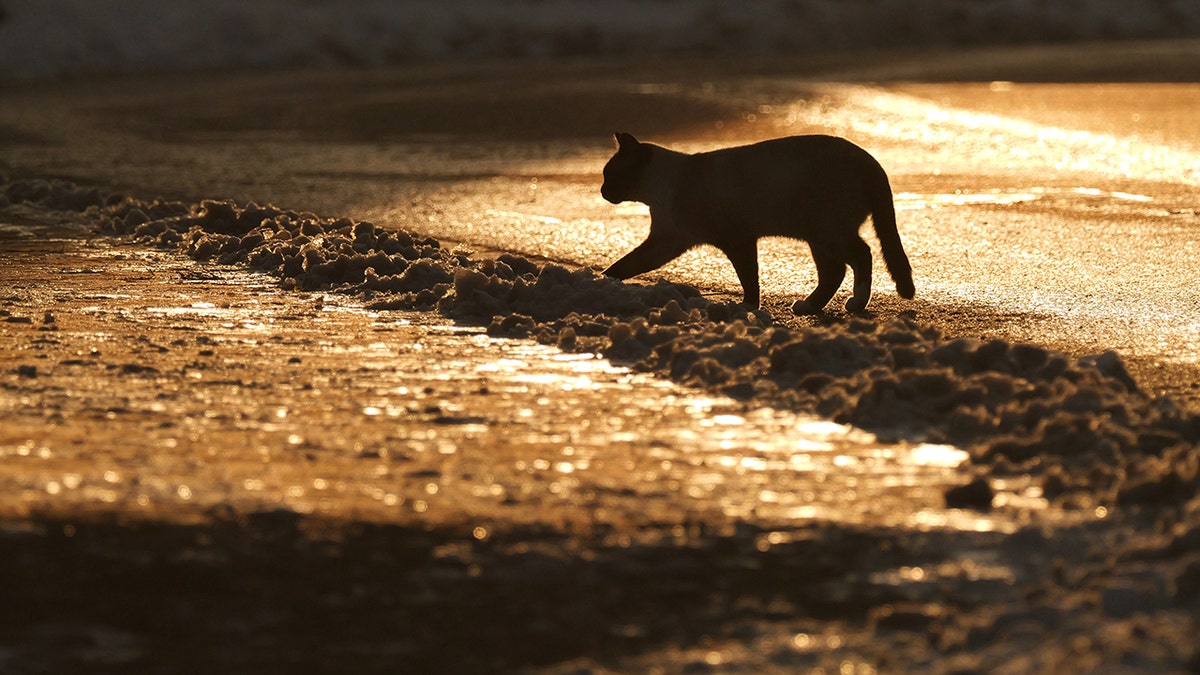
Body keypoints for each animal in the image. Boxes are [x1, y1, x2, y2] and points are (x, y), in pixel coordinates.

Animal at [604, 131, 912, 312]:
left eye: (610, 175)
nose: (602, 191)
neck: (661, 189)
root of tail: (871, 161)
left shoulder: (738, 240)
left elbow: (749, 278)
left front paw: (748, 307)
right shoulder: (666, 241)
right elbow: (626, 264)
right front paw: (604, 281)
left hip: (827, 231)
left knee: (863, 255)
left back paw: (856, 303)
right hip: (817, 236)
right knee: (835, 271)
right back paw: (808, 307)